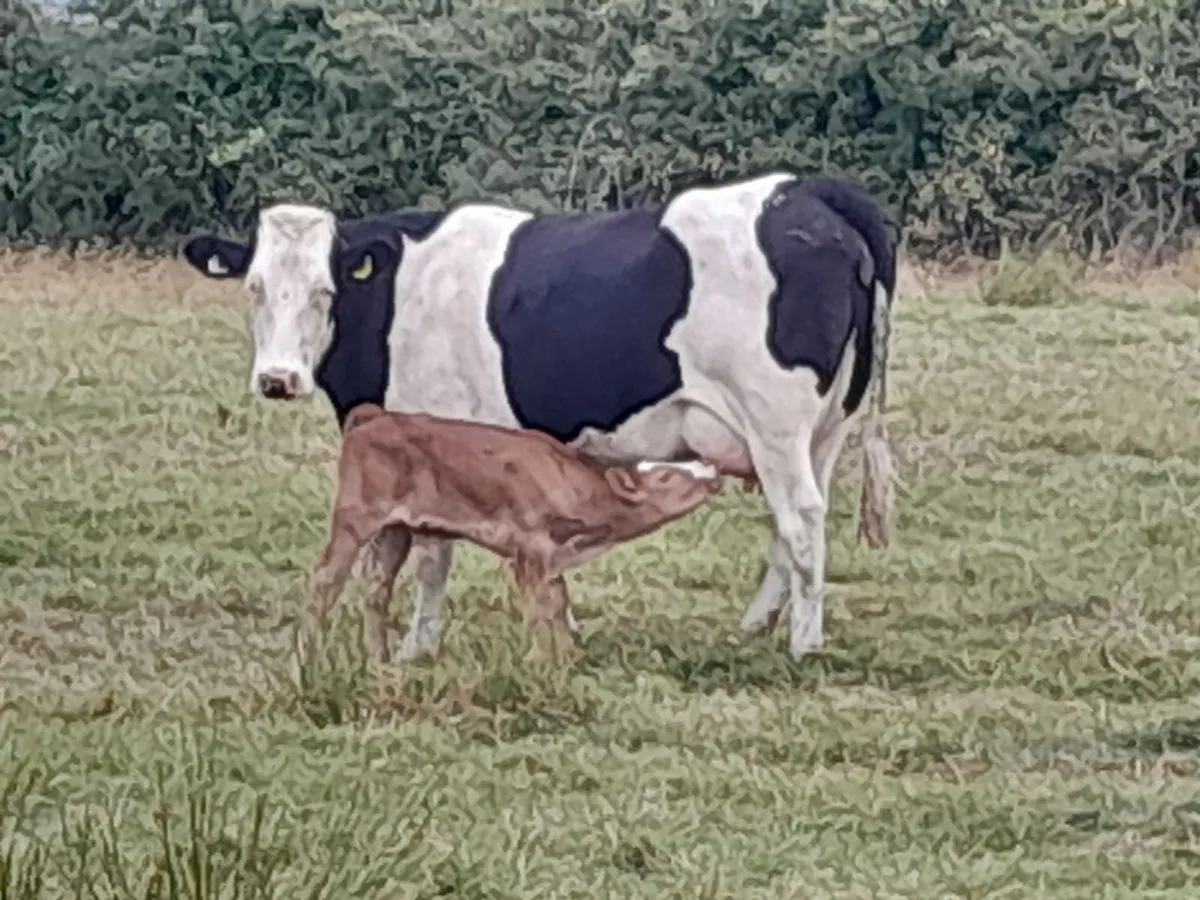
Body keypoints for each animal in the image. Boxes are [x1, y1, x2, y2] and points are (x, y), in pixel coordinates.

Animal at [298, 401, 724, 664]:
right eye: (667, 476)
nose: (712, 469)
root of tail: (376, 416)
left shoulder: (552, 556)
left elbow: (556, 602)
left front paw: (566, 659)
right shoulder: (530, 547)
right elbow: (538, 608)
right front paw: (540, 662)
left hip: (394, 531)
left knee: (376, 592)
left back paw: (380, 662)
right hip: (355, 519)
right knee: (325, 580)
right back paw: (307, 658)